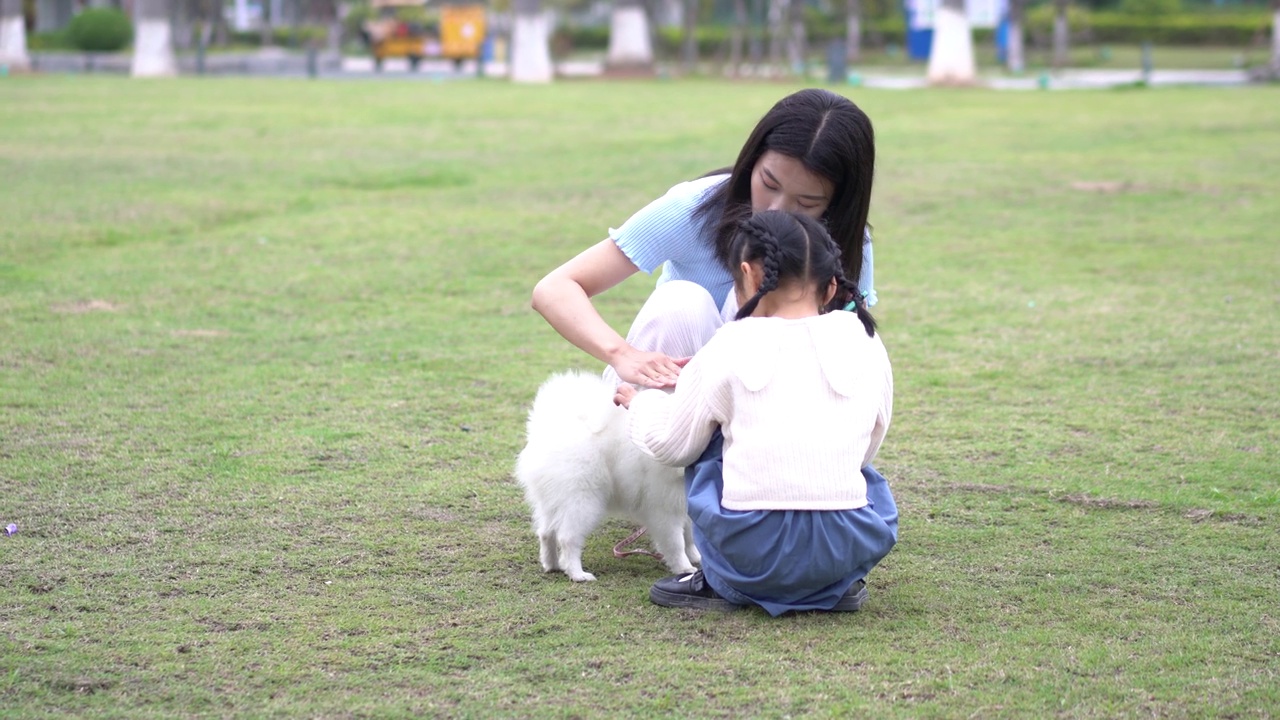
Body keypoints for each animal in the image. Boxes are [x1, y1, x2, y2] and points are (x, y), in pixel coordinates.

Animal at [512, 366, 701, 579]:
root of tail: (548, 429)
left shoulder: (682, 504)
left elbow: (690, 537)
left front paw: (696, 557)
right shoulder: (663, 509)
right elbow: (676, 543)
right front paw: (684, 568)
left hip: (552, 502)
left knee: (546, 533)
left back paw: (552, 565)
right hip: (583, 500)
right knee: (567, 538)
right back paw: (577, 574)